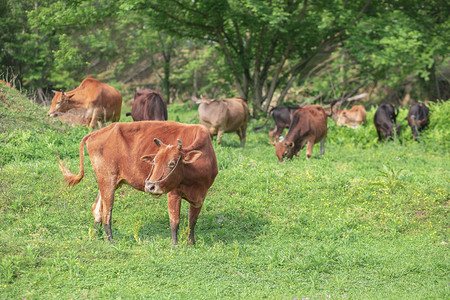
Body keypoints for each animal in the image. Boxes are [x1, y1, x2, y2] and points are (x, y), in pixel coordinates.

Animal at [57, 120, 219, 245]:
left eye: (172, 163)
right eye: (154, 161)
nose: (150, 186)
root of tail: (95, 133)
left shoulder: (200, 196)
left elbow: (192, 220)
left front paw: (191, 243)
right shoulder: (173, 193)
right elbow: (175, 220)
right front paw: (175, 244)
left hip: (106, 181)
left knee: (96, 208)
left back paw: (98, 237)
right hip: (107, 179)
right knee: (106, 211)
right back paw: (110, 240)